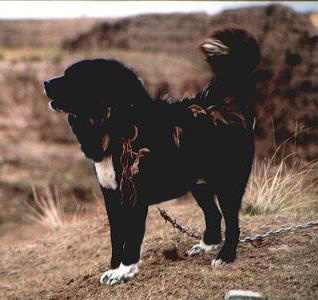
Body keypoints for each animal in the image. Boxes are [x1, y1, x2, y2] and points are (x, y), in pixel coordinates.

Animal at [43, 27, 260, 284]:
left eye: (74, 77)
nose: (45, 82)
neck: (119, 124)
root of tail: (222, 102)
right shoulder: (111, 196)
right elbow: (116, 238)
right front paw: (114, 267)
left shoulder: (134, 197)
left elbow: (131, 239)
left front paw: (124, 270)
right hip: (199, 185)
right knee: (214, 216)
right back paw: (207, 245)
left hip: (227, 185)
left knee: (232, 222)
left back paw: (225, 255)